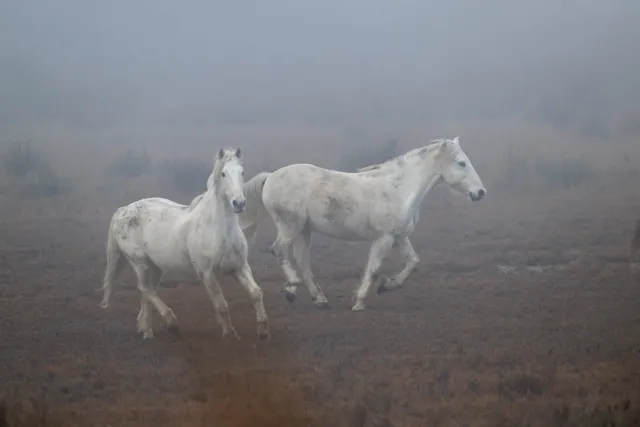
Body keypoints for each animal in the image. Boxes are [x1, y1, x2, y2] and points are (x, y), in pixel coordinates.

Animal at [100, 147, 270, 342]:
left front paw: (263, 331)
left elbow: (256, 293)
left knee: (147, 292)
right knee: (144, 288)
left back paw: (147, 330)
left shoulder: (240, 267)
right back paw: (170, 322)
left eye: (242, 172)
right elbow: (221, 305)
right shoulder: (207, 274)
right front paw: (230, 334)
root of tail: (122, 211)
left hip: (156, 268)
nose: (239, 203)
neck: (220, 231)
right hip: (140, 263)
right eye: (223, 173)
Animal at [240, 137, 484, 310]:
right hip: (290, 227)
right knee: (278, 251)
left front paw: (388, 285)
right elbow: (374, 269)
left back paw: (320, 300)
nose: (480, 192)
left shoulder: (400, 237)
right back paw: (292, 288)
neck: (399, 190)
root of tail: (270, 177)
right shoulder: (384, 239)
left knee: (302, 261)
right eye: (462, 163)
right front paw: (360, 302)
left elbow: (413, 262)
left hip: (304, 230)